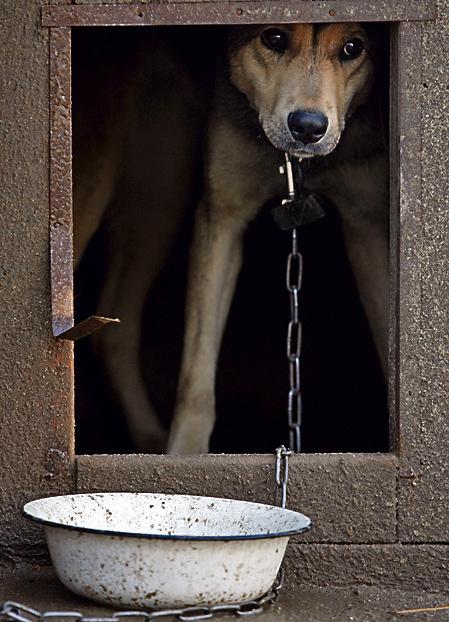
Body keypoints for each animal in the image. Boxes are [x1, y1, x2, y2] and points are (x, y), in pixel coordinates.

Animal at [73, 24, 388, 454]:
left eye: (353, 47)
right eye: (273, 38)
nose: (308, 127)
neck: (299, 169)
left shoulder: (368, 225)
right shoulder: (222, 217)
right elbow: (197, 373)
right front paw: (186, 456)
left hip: (159, 196)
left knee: (113, 331)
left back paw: (147, 437)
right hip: (92, 185)